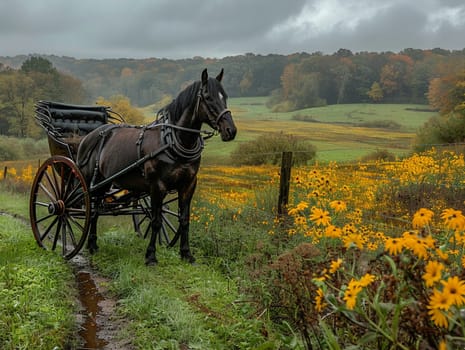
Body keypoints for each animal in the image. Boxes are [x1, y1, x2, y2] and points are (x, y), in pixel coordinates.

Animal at [77, 68, 236, 266]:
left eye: (225, 96)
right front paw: (151, 256)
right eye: (208, 96)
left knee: (96, 210)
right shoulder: (157, 186)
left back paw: (93, 244)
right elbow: (156, 221)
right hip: (92, 182)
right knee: (89, 209)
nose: (231, 130)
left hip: (104, 184)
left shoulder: (188, 184)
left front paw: (186, 254)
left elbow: (184, 220)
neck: (172, 140)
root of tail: (89, 136)